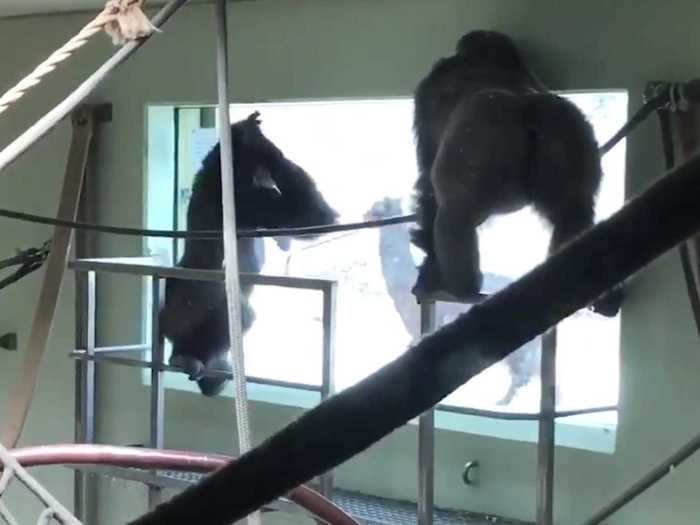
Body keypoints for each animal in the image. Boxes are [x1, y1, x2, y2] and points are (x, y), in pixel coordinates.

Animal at [162, 112, 342, 396]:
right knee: (238, 312)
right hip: (182, 311)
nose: (265, 176)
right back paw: (186, 356)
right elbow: (309, 217)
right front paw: (256, 138)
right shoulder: (250, 201)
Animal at [410, 29, 624, 316]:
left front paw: (428, 265)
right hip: (569, 130)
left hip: (483, 137)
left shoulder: (428, 91)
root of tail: (527, 109)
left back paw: (461, 286)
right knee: (572, 213)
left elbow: (426, 182)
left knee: (454, 210)